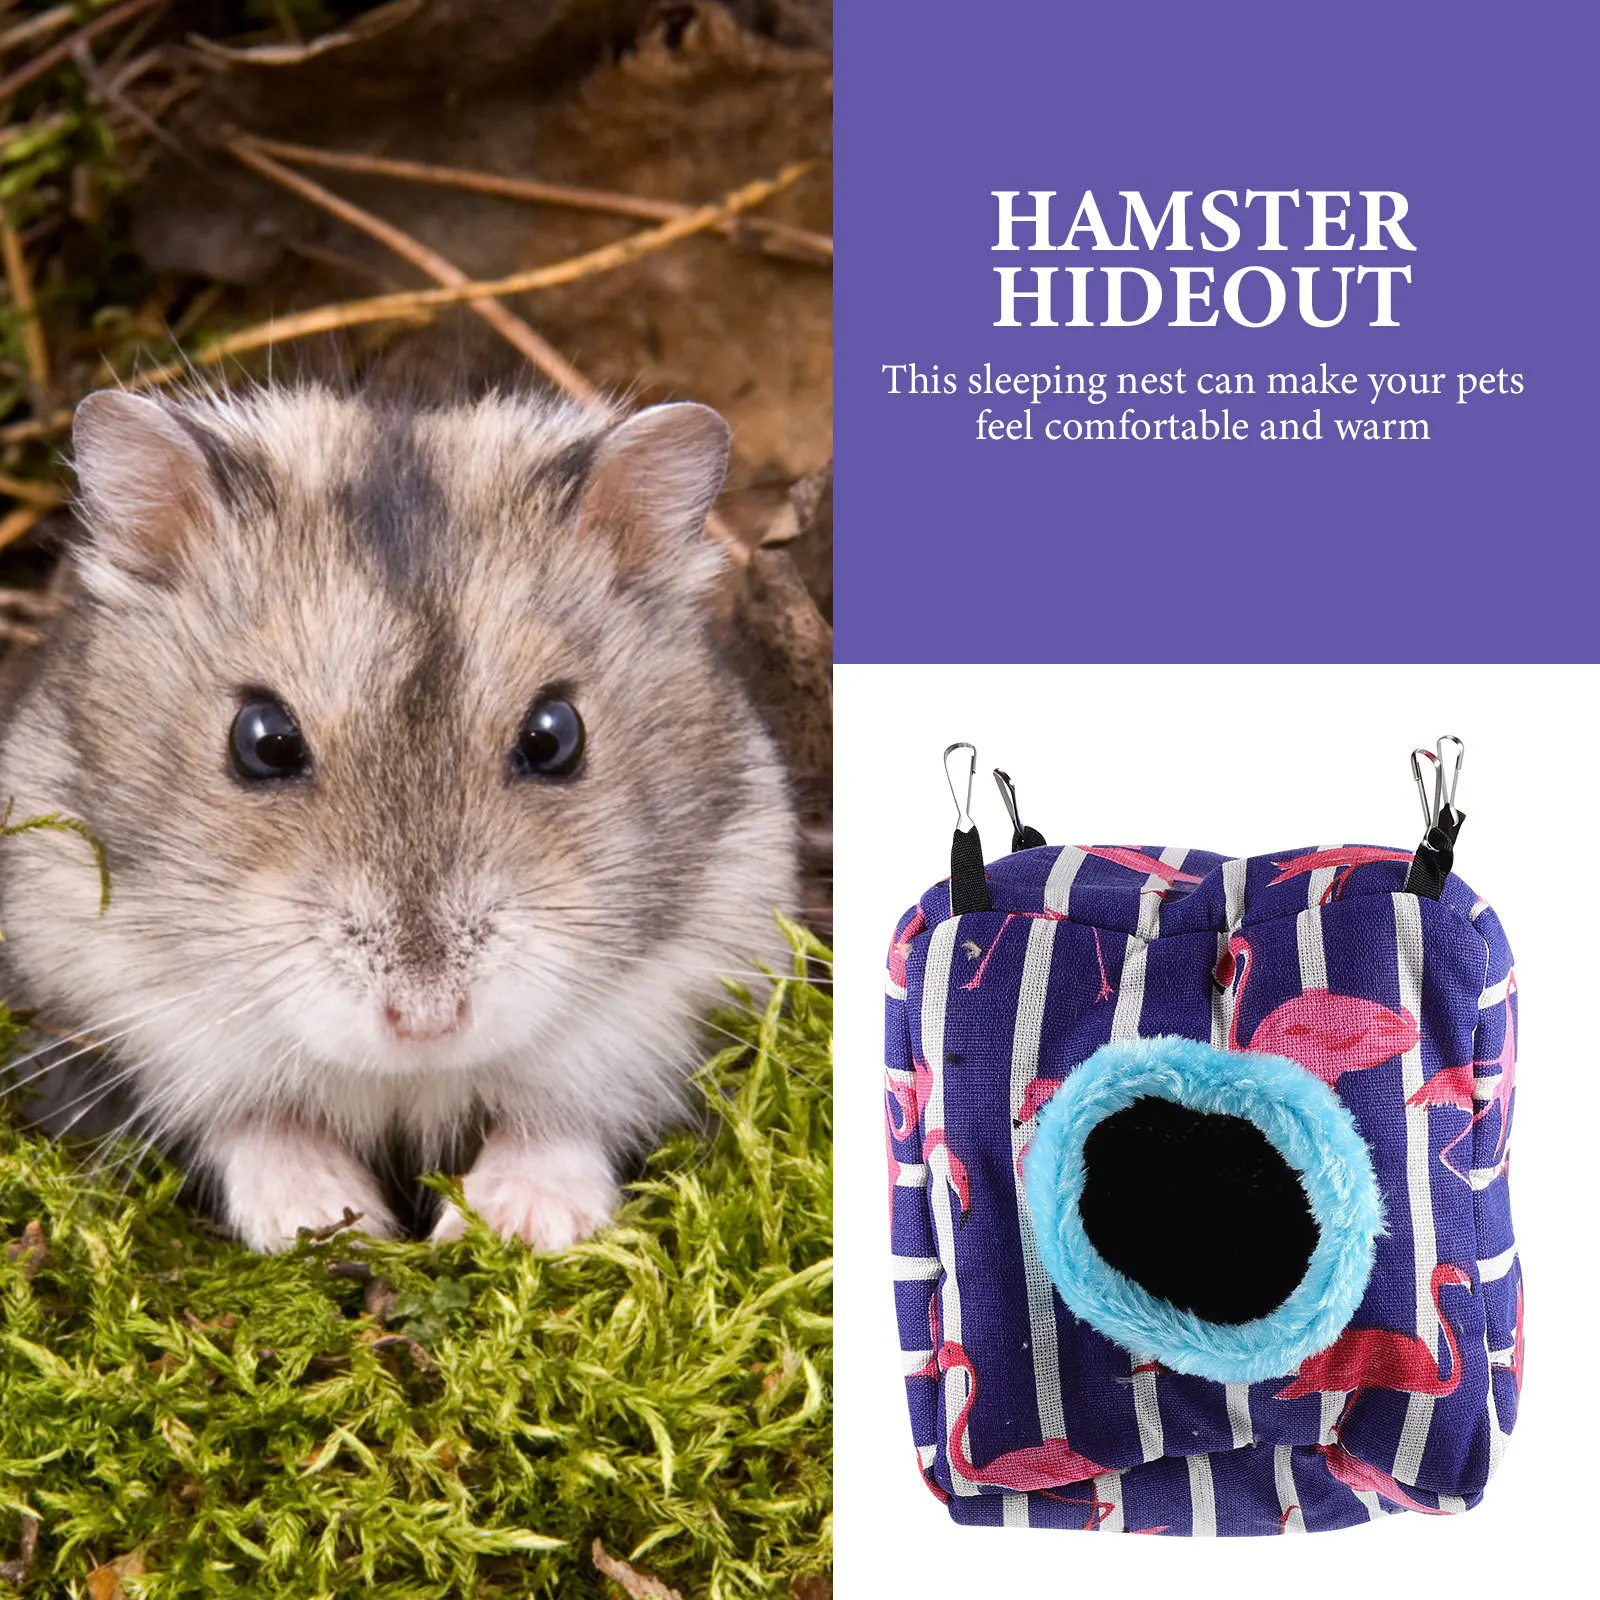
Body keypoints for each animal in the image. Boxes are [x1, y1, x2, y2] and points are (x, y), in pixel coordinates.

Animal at [0, 384, 796, 1253]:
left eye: (555, 736)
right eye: (262, 740)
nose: (426, 1022)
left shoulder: (676, 988)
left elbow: (557, 1118)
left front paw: (513, 1226)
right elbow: (257, 1121)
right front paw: (331, 1224)